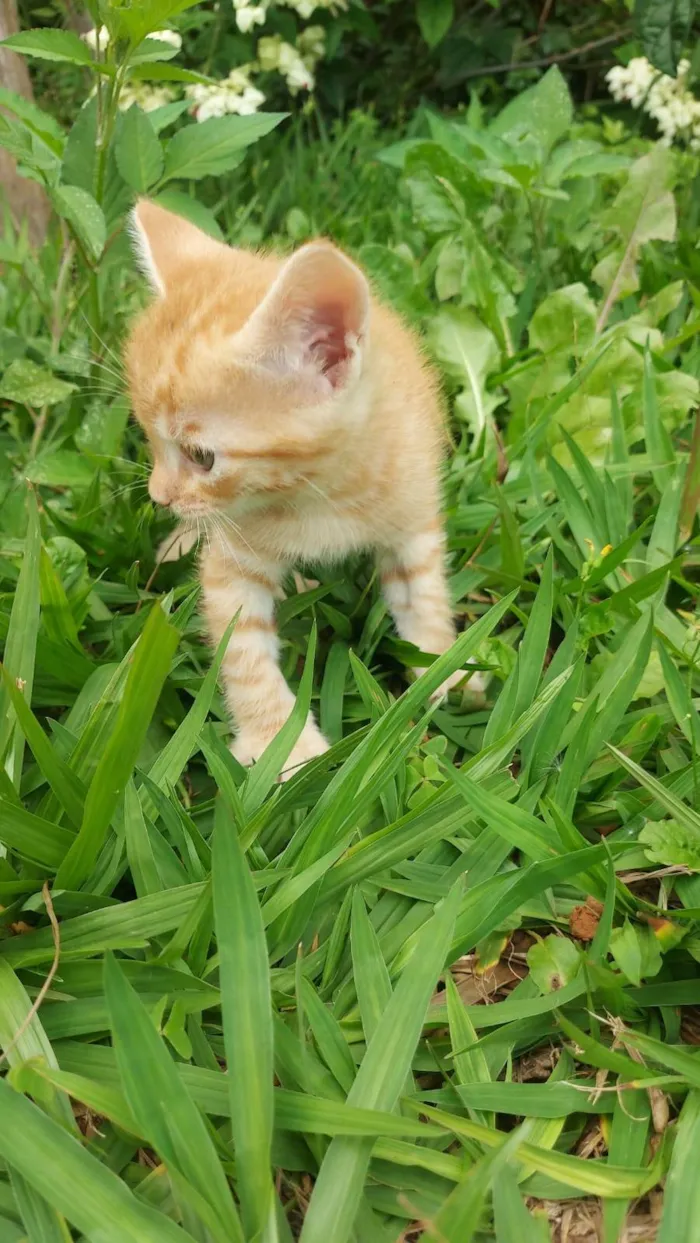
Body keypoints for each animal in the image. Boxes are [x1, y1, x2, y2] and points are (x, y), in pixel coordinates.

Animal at [126, 203, 484, 775]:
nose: (160, 497)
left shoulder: (413, 513)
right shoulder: (233, 559)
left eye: (202, 457)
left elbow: (424, 594)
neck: (320, 493)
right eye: (151, 441)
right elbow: (243, 653)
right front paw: (283, 747)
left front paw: (443, 664)